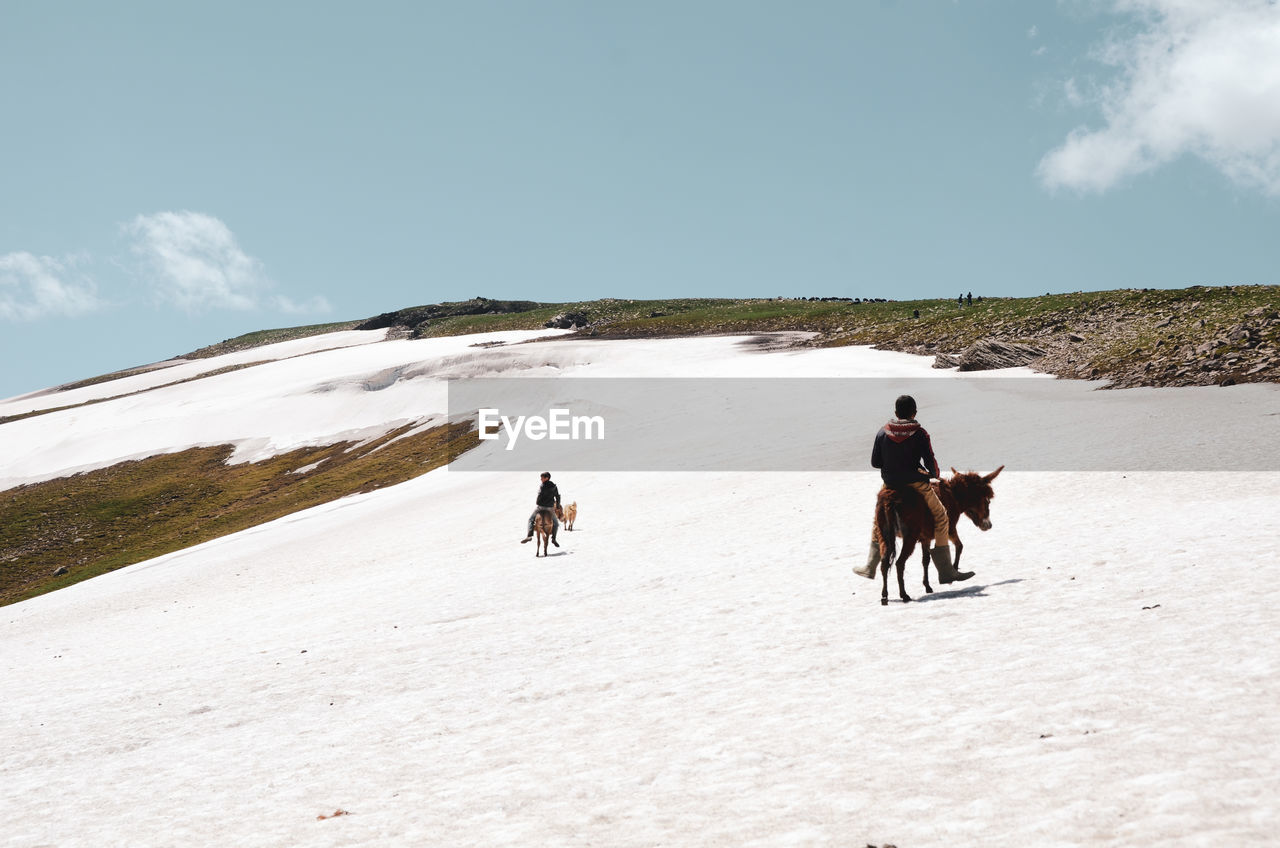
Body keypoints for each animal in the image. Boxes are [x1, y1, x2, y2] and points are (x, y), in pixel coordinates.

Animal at [875, 466, 1003, 604]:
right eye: (987, 501)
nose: (988, 525)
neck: (954, 496)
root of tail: (890, 500)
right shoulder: (949, 528)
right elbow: (959, 546)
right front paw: (954, 571)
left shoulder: (926, 537)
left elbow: (926, 560)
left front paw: (927, 586)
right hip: (910, 536)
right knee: (899, 563)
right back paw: (904, 595)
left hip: (884, 535)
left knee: (884, 564)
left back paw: (884, 596)